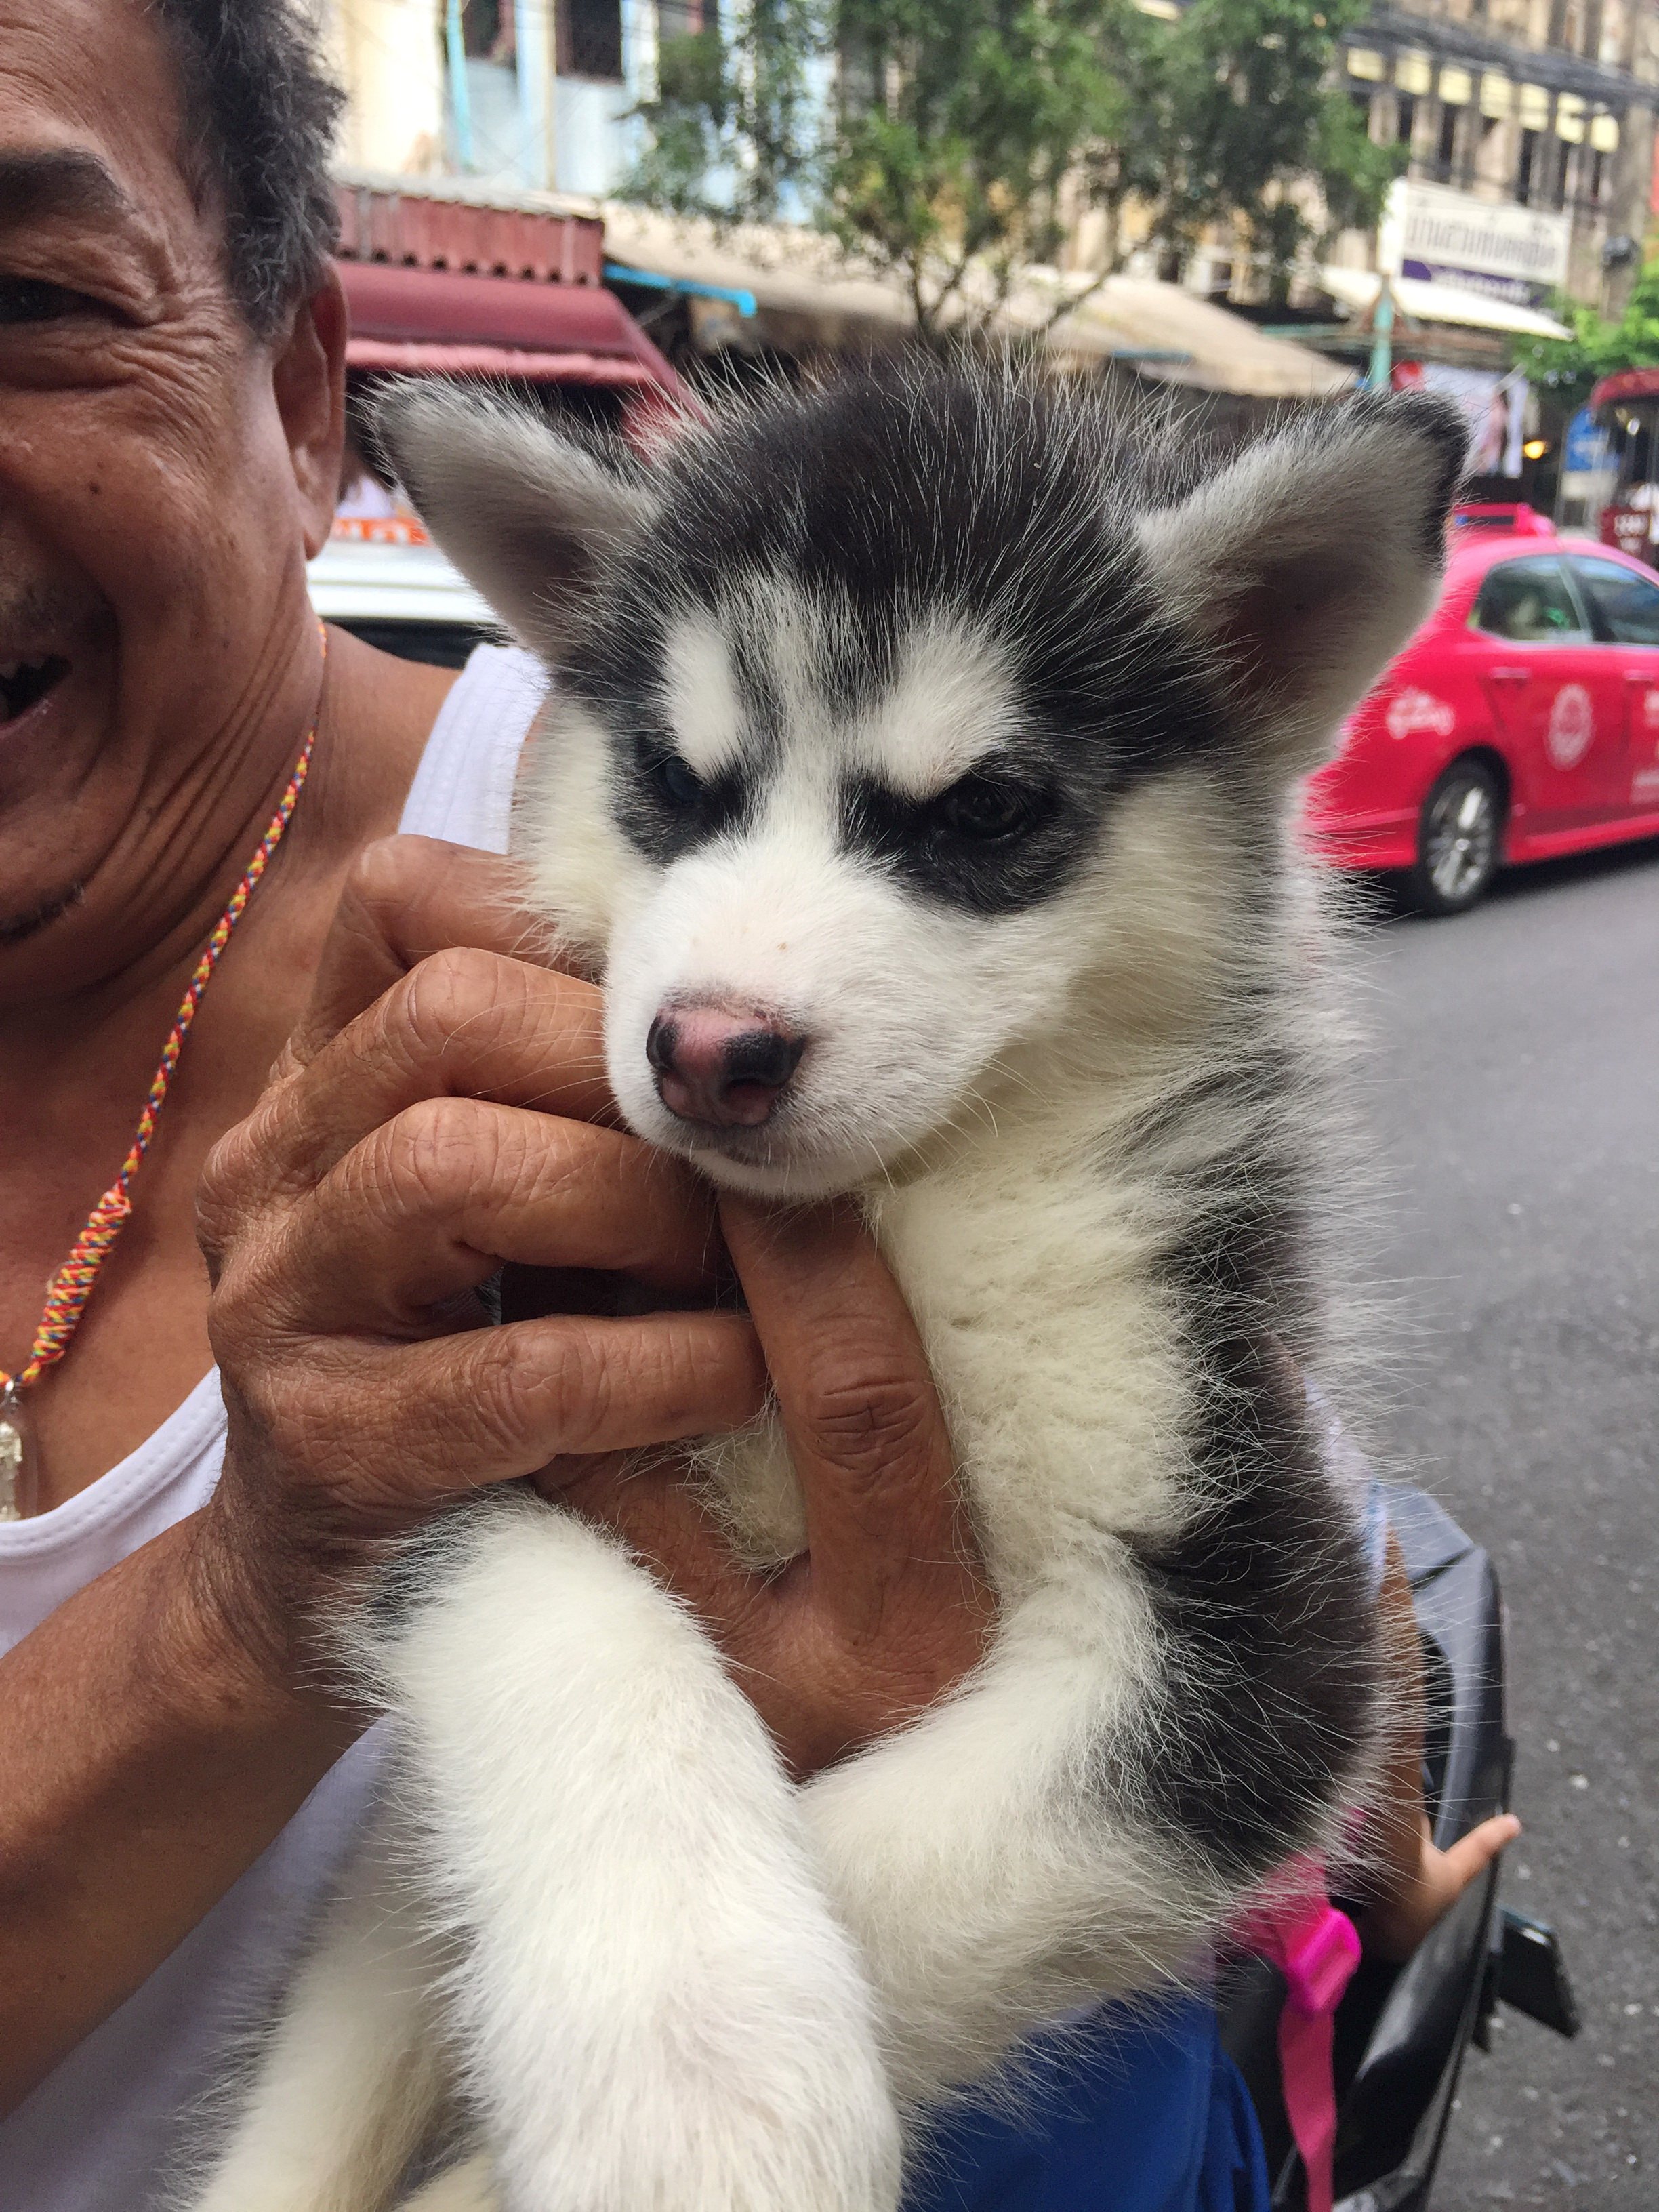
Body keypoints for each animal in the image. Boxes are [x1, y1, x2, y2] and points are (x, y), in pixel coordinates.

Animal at [194, 367, 1460, 2212]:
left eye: (983, 811)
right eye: (672, 779)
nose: (711, 1049)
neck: (898, 1208)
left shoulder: (1257, 1611)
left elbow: (879, 1864)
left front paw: (616, 2135)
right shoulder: (434, 1400)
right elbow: (579, 1634)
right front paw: (692, 2057)